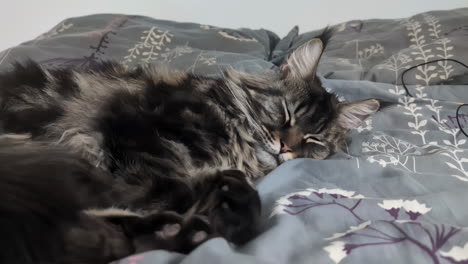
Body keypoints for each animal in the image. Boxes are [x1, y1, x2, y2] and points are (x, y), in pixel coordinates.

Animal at [0, 31, 380, 264]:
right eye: (287, 113)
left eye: (313, 140)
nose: (286, 148)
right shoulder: (134, 137)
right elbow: (166, 189)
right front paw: (225, 208)